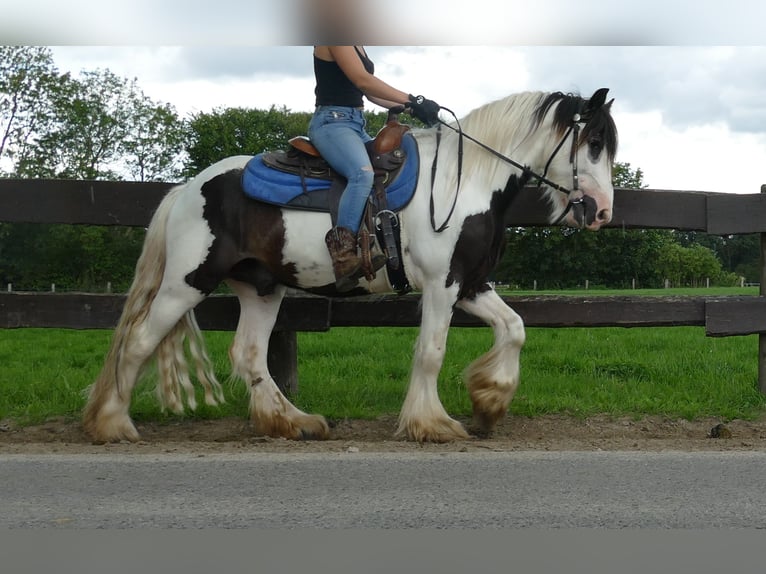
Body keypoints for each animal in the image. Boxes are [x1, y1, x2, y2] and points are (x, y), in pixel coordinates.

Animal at [84, 88, 620, 446]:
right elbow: (431, 351)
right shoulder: (441, 286)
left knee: (249, 354)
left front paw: (489, 402)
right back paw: (113, 424)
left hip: (261, 288)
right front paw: (432, 423)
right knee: (138, 341)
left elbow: (515, 328)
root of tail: (187, 188)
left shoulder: (470, 283)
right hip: (187, 282)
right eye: (593, 141)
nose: (601, 212)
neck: (462, 181)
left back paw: (292, 422)